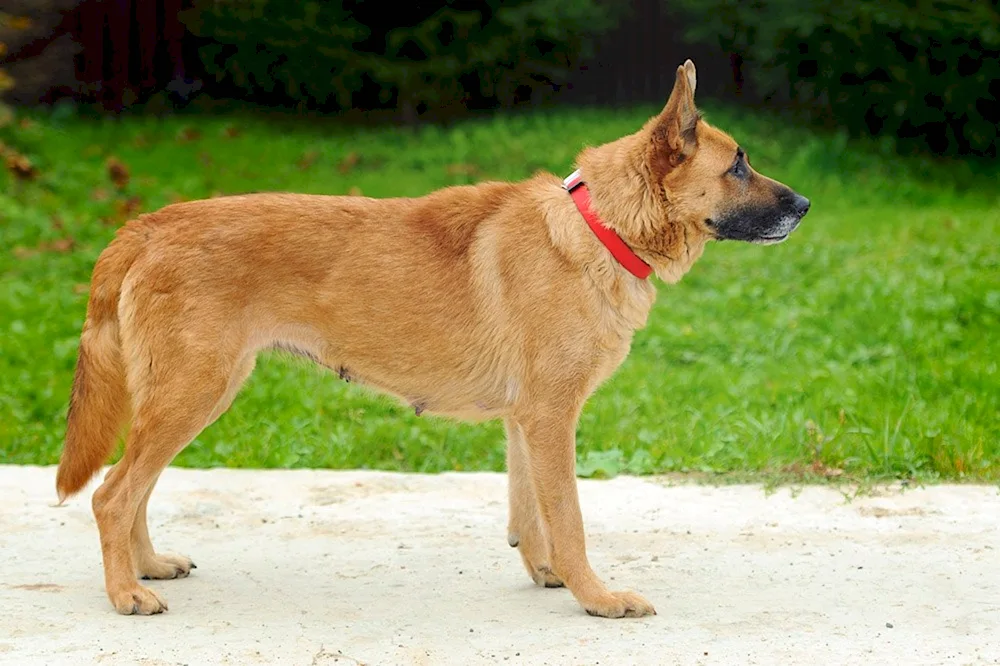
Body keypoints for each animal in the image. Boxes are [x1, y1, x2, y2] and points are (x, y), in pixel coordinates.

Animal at [54, 61, 808, 616]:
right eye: (738, 165)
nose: (804, 206)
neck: (598, 228)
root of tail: (145, 226)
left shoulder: (525, 424)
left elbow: (531, 515)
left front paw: (547, 574)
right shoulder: (551, 419)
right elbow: (569, 520)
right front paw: (596, 598)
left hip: (189, 398)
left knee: (132, 487)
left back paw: (147, 567)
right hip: (192, 395)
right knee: (111, 494)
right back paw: (125, 593)